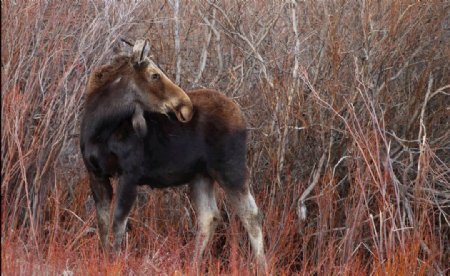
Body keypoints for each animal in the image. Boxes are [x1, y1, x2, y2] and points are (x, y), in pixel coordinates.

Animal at [80, 39, 268, 272]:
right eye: (154, 75)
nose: (186, 106)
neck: (99, 129)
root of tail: (243, 118)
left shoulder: (130, 175)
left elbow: (118, 224)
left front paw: (114, 262)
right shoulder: (96, 174)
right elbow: (103, 225)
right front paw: (106, 260)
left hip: (231, 169)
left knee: (251, 215)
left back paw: (262, 267)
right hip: (201, 176)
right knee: (209, 216)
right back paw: (194, 265)